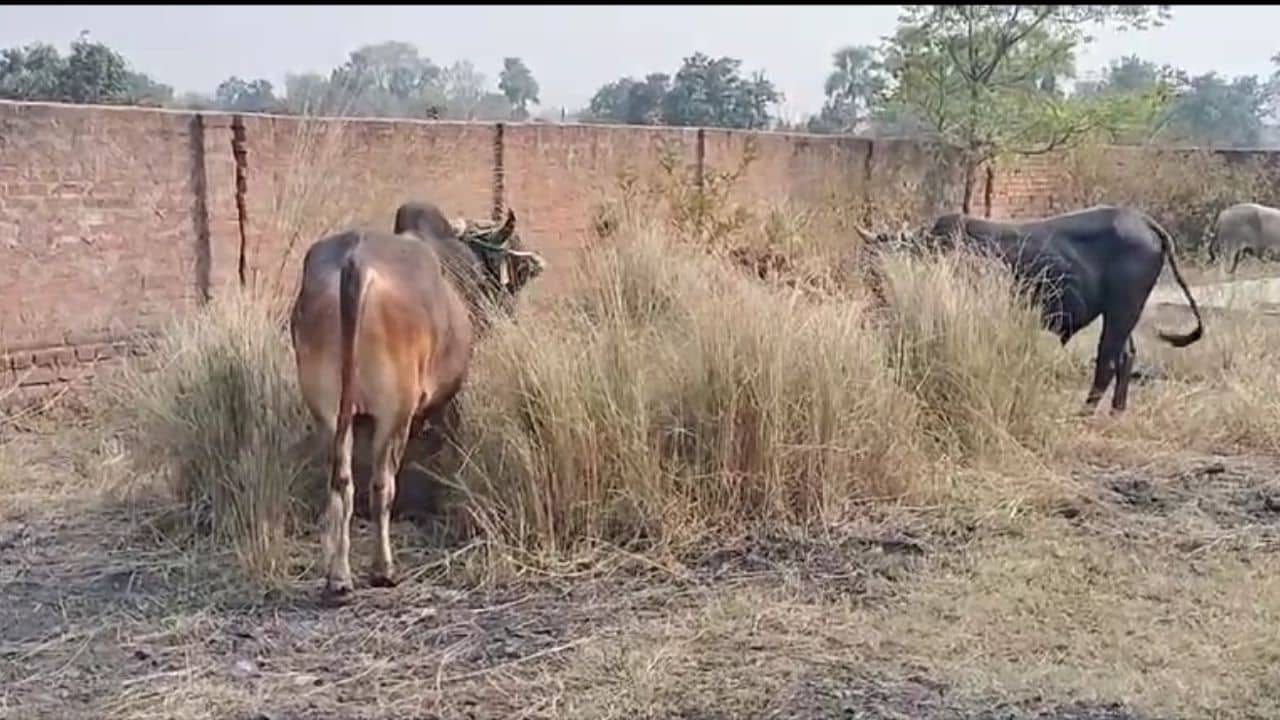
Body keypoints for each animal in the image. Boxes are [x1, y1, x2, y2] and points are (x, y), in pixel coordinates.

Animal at [289, 201, 546, 599]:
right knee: (381, 484)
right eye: (517, 271)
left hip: (328, 415)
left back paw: (338, 575)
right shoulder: (447, 400)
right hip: (394, 414)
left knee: (341, 482)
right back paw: (383, 569)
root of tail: (355, 264)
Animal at [855, 204, 1205, 415]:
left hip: (1121, 310)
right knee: (1126, 356)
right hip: (1122, 314)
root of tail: (1143, 221)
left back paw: (1086, 411)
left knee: (1107, 359)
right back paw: (1116, 410)